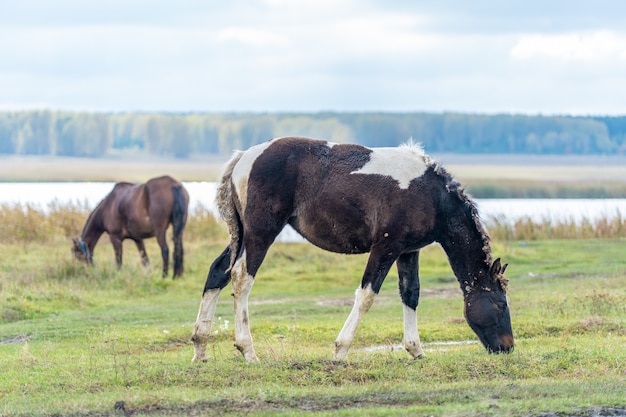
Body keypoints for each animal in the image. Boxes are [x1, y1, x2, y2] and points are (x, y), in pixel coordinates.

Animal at [191, 136, 512, 360]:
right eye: (500, 304)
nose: (508, 347)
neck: (432, 196)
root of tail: (245, 157)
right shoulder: (386, 246)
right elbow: (368, 294)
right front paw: (341, 350)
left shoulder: (408, 251)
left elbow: (411, 293)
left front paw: (416, 350)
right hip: (261, 233)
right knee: (242, 277)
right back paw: (247, 350)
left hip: (242, 235)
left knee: (219, 272)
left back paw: (200, 348)